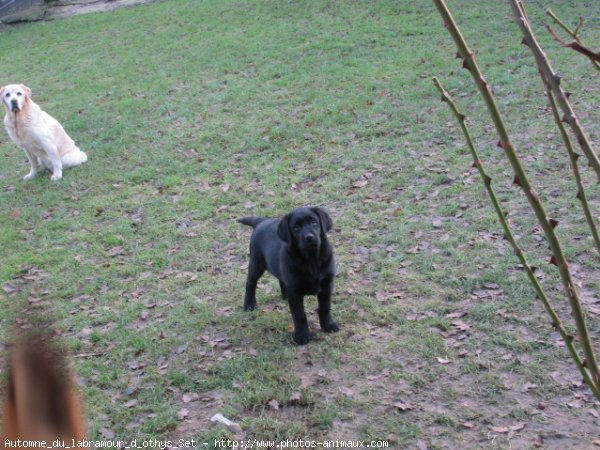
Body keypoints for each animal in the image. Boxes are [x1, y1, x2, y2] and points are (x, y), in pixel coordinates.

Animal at [240, 207, 342, 344]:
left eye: (313, 222)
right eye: (296, 228)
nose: (309, 238)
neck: (311, 259)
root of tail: (262, 221)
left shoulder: (326, 286)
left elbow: (325, 308)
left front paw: (328, 325)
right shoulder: (295, 291)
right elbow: (299, 315)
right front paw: (301, 335)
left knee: (281, 279)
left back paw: (284, 295)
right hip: (256, 262)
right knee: (250, 282)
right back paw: (249, 304)